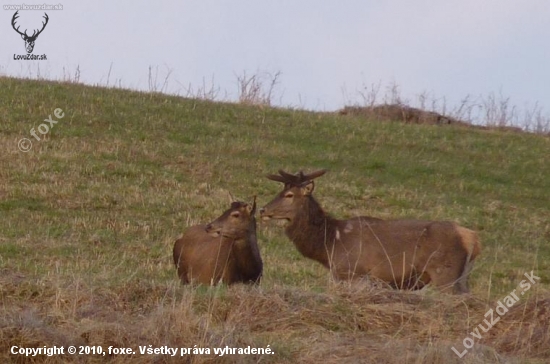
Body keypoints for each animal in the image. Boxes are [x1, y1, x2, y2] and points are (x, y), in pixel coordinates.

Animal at [260, 170, 480, 292]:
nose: (263, 210)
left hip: (446, 273)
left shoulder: (351, 272)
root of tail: (473, 239)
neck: (330, 243)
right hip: (463, 276)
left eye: (289, 195)